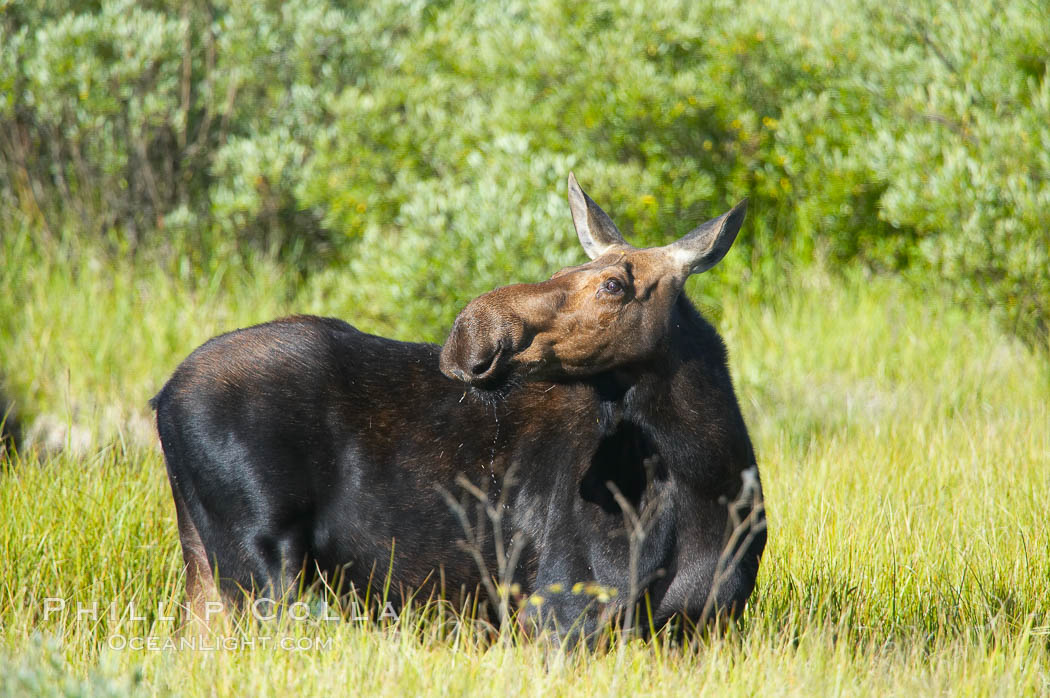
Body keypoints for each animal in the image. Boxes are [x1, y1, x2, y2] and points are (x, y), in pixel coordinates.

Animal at [152, 173, 768, 638]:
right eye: (563, 271)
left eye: (615, 283)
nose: (471, 334)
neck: (702, 479)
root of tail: (164, 397)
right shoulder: (558, 609)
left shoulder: (705, 625)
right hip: (262, 561)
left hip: (206, 563)